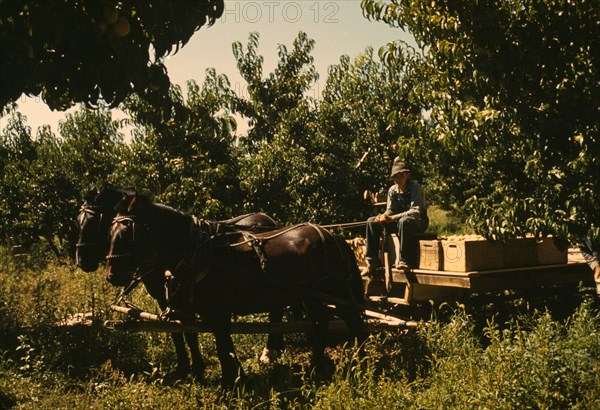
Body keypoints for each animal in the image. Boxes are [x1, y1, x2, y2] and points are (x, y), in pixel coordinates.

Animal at [75, 187, 282, 380]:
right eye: (79, 221)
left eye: (94, 221)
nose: (82, 261)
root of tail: (265, 218)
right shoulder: (166, 299)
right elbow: (177, 331)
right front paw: (185, 368)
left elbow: (188, 332)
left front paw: (195, 369)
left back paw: (270, 352)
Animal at [104, 191, 366, 388]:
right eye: (109, 231)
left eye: (127, 232)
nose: (111, 275)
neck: (200, 251)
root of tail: (334, 237)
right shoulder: (194, 308)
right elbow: (198, 337)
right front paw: (215, 374)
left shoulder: (217, 311)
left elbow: (222, 346)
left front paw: (233, 380)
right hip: (308, 294)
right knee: (320, 321)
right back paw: (314, 367)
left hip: (336, 290)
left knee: (354, 322)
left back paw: (359, 364)